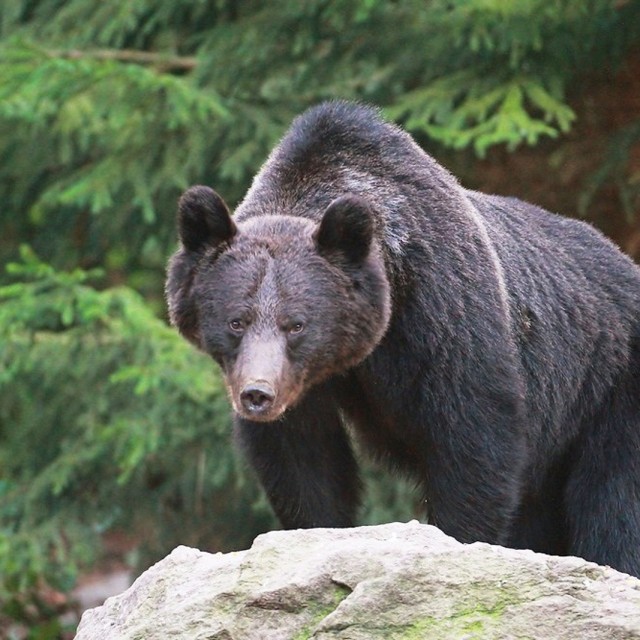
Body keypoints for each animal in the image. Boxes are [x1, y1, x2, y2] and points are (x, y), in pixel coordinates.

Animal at [166, 101, 640, 578]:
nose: (257, 394)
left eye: (295, 324)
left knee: (614, 501)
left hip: (608, 385)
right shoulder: (305, 388)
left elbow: (474, 445)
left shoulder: (445, 318)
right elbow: (303, 462)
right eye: (236, 321)